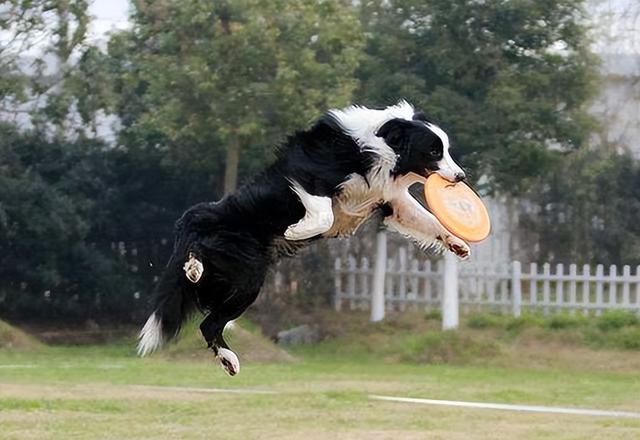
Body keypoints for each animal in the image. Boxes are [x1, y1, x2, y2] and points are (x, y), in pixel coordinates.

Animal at [139, 102, 470, 374]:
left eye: (446, 149)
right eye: (434, 151)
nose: (461, 177)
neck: (379, 147)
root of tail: (190, 222)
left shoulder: (389, 199)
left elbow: (426, 218)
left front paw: (458, 243)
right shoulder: (308, 178)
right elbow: (324, 213)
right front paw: (295, 230)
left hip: (240, 278)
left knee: (209, 321)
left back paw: (227, 356)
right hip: (244, 268)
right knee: (207, 312)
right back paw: (195, 271)